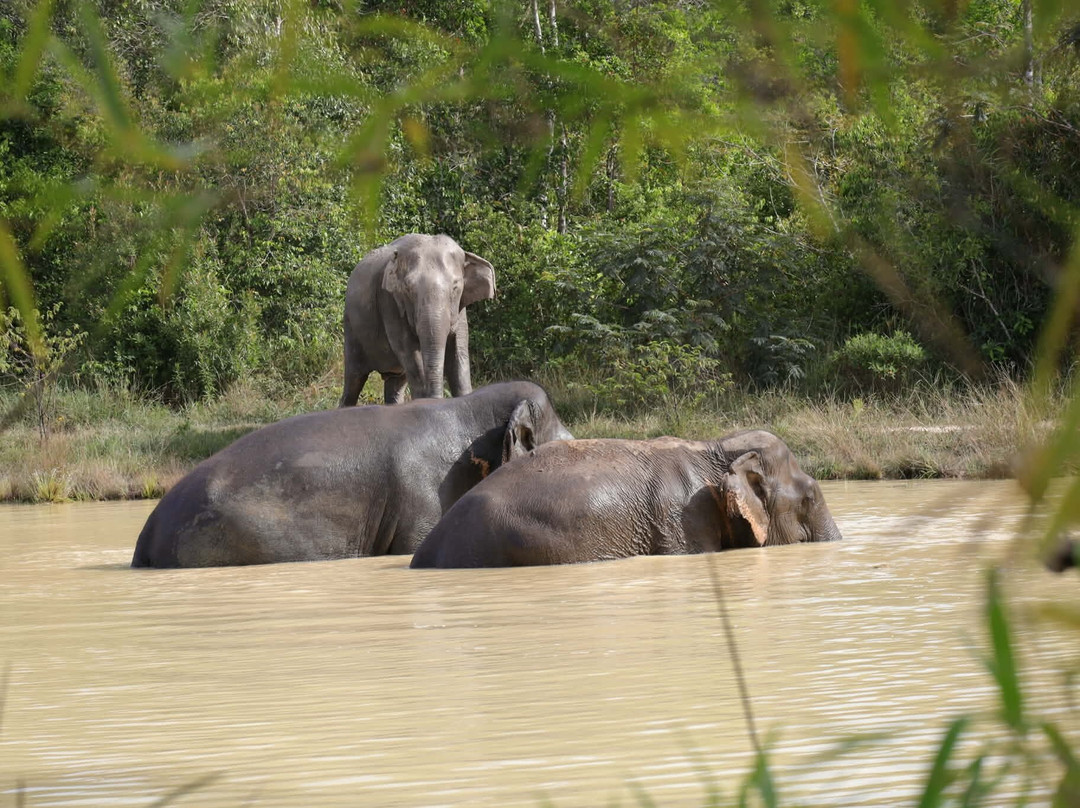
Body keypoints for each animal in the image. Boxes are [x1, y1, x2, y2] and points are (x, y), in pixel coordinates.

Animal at [339, 233, 496, 406]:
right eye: (408, 289)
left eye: (455, 288)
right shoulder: (389, 302)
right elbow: (409, 352)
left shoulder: (460, 309)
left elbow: (458, 353)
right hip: (351, 326)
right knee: (354, 379)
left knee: (395, 383)